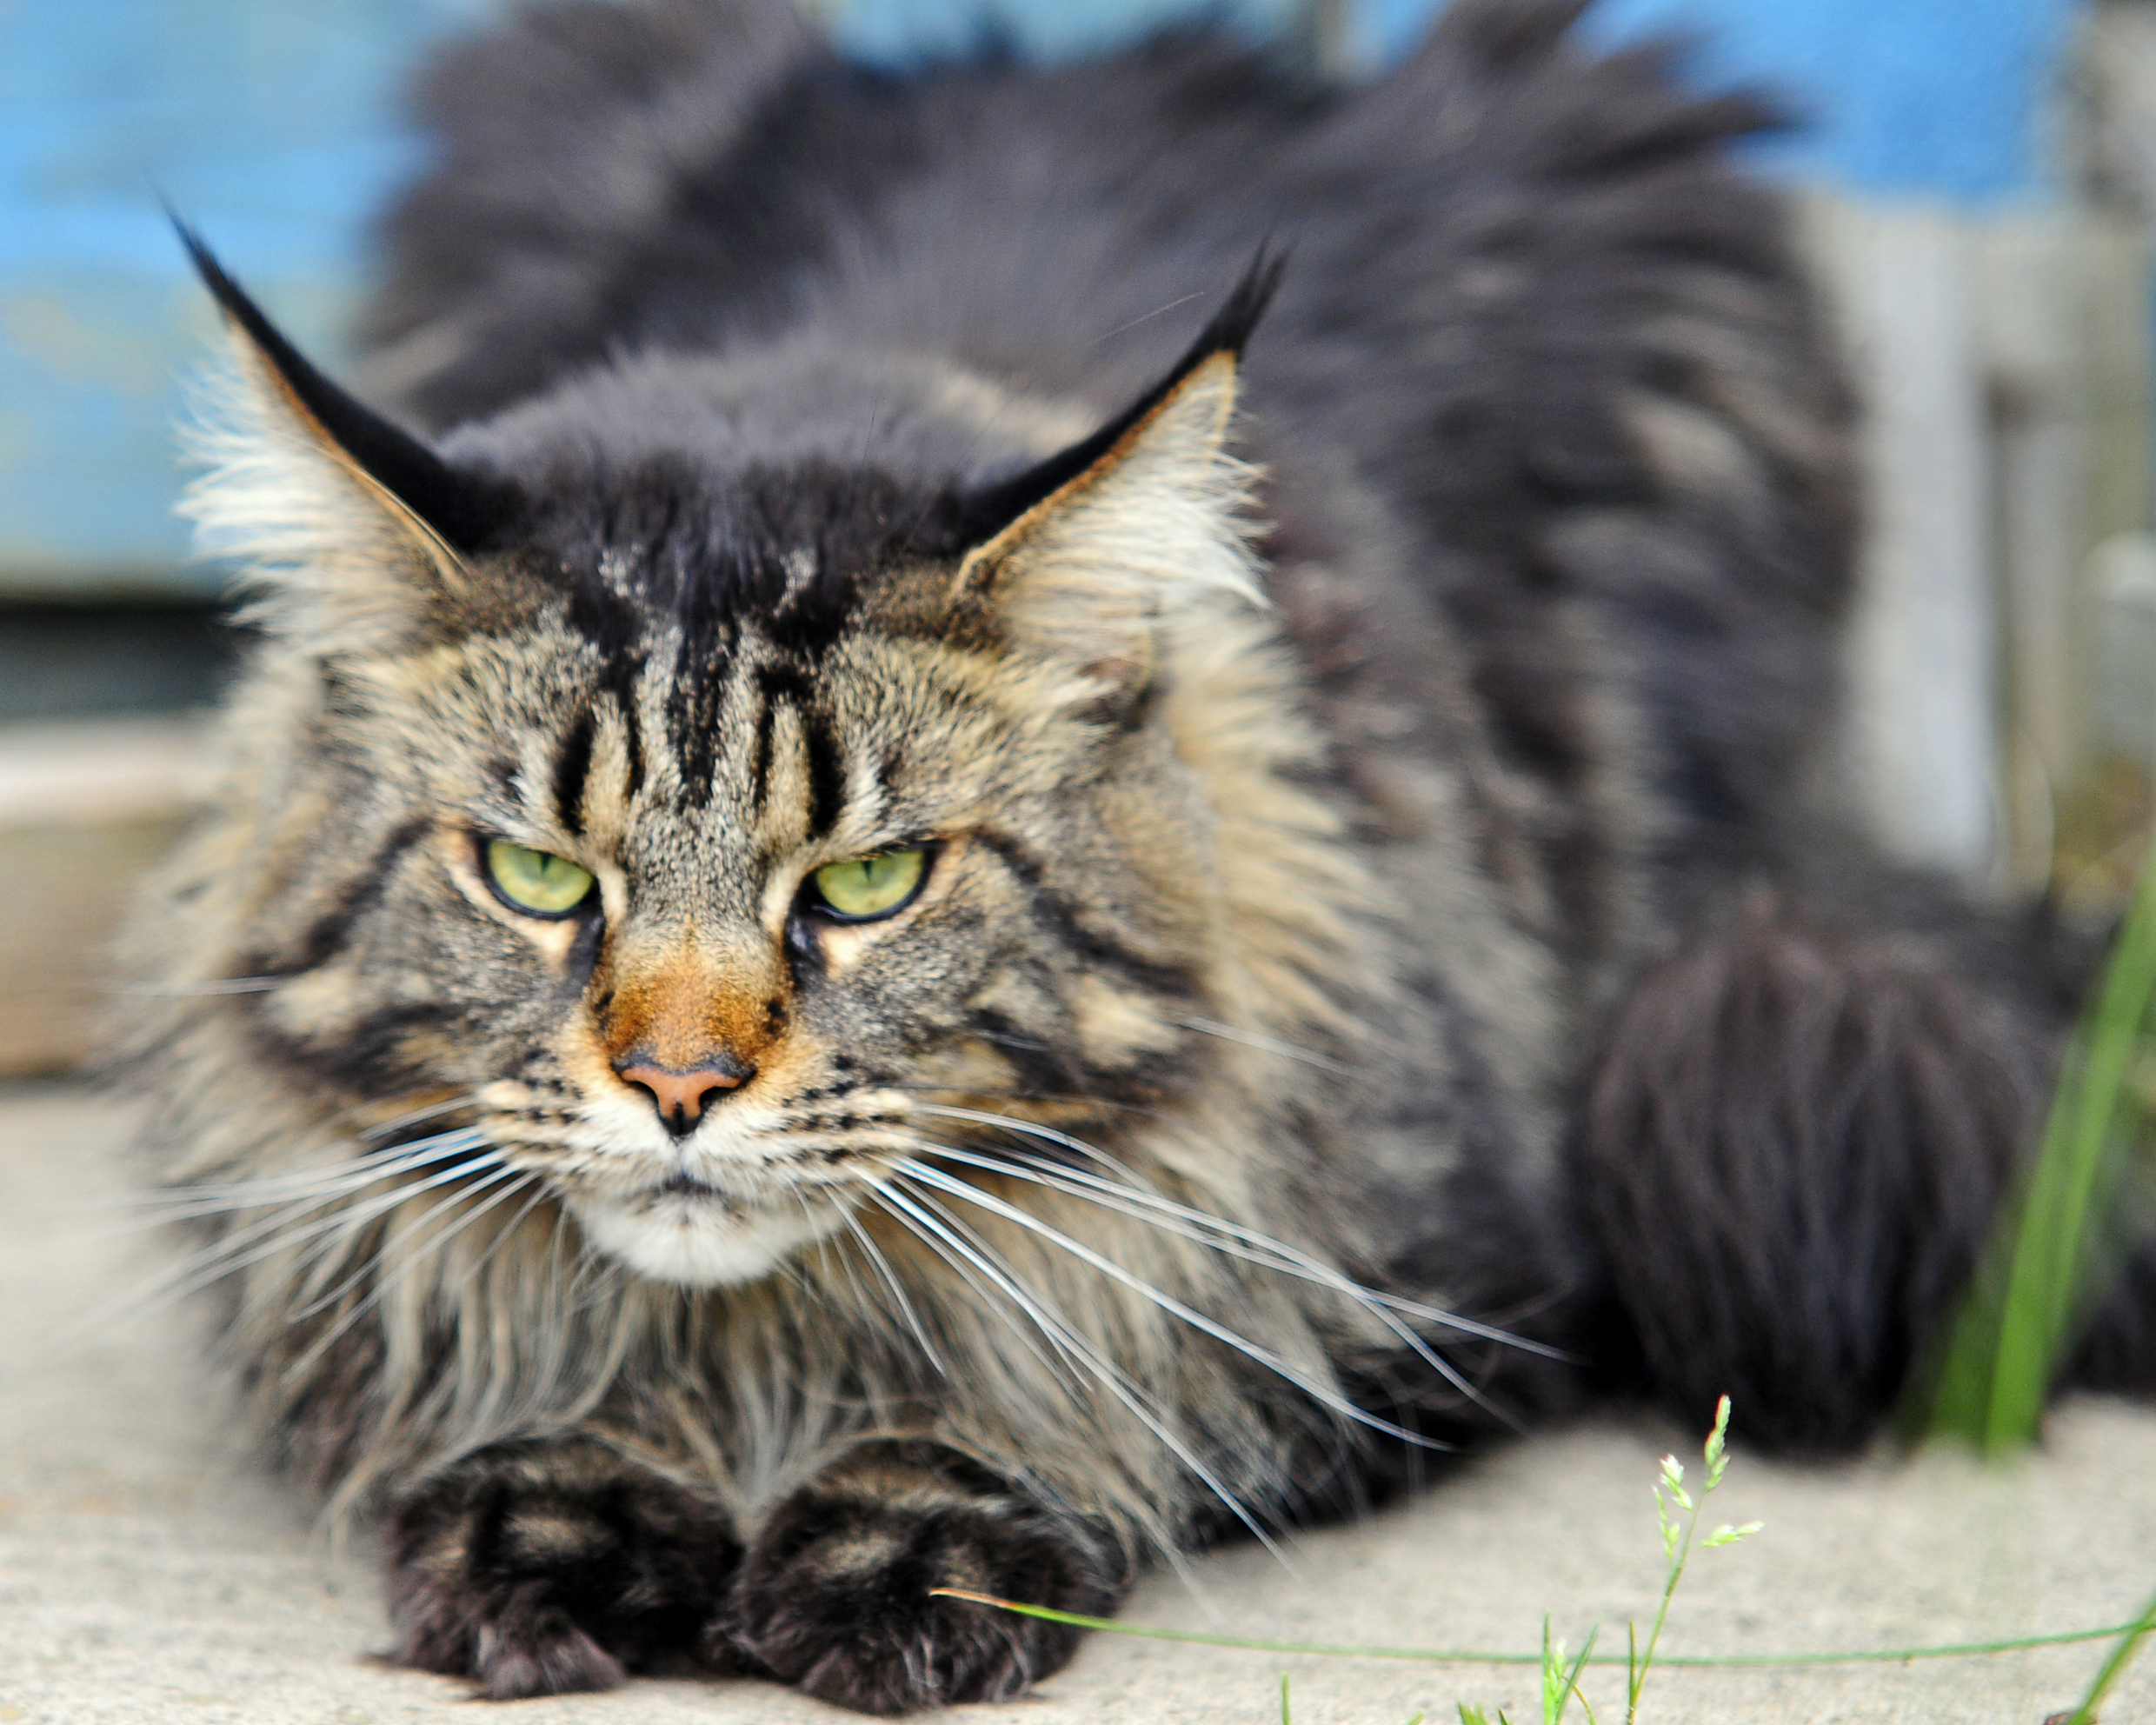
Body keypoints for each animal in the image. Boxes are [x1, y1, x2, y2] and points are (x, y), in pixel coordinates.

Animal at [126, 0, 2147, 1708]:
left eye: (867, 884)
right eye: (541, 877)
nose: (678, 1084)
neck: (760, 1355)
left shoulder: (1444, 1288)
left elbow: (1105, 1368)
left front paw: (899, 1545)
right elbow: (481, 1346)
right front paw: (560, 1510)